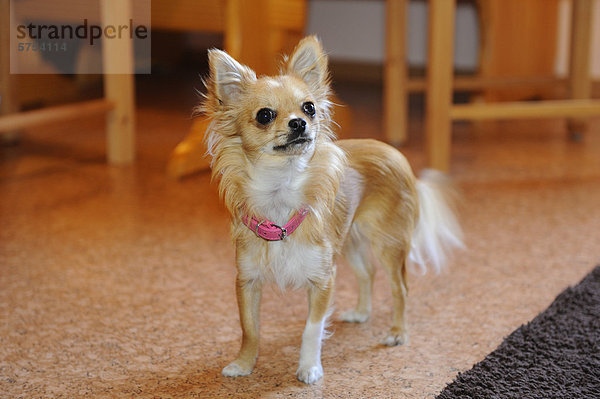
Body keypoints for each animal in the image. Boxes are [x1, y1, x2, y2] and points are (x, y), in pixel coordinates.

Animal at [202, 36, 464, 384]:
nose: (299, 122)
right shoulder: (247, 281)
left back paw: (397, 332)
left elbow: (312, 329)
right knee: (368, 273)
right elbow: (250, 329)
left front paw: (309, 368)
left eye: (309, 108)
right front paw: (244, 364)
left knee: (401, 288)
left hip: (388, 244)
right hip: (350, 240)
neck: (281, 194)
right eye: (265, 115)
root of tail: (400, 159)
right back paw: (362, 313)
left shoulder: (322, 279)